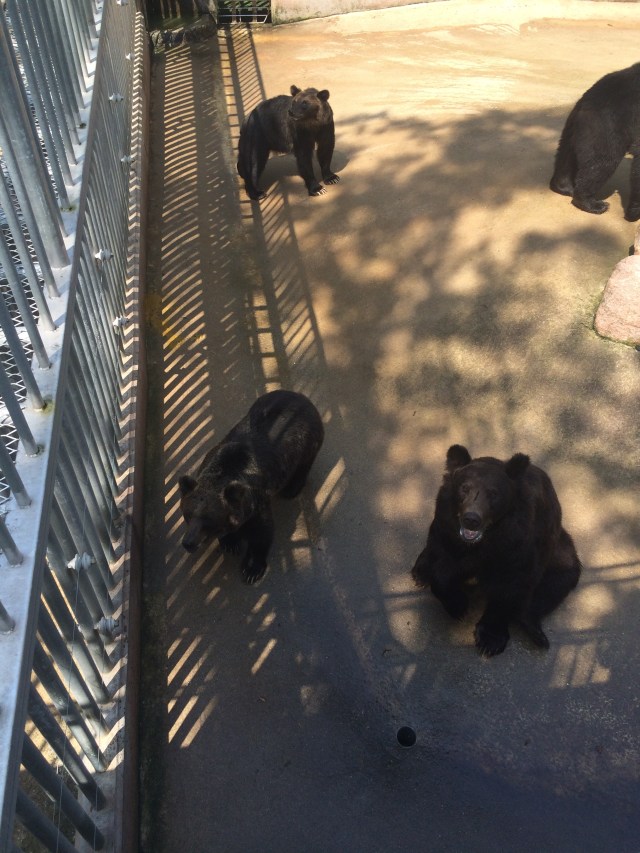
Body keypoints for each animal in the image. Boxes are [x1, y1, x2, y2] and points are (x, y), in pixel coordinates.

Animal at [179, 390, 324, 584]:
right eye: (187, 514)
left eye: (207, 520)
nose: (188, 542)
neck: (224, 473)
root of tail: (301, 396)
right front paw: (231, 543)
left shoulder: (257, 499)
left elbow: (262, 532)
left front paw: (252, 569)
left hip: (307, 440)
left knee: (304, 464)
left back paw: (292, 489)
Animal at [411, 444, 582, 656]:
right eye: (464, 488)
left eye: (493, 493)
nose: (472, 519)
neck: (485, 540)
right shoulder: (447, 528)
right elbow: (442, 565)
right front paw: (458, 605)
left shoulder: (518, 542)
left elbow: (510, 584)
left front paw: (489, 640)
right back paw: (420, 572)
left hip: (558, 549)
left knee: (558, 579)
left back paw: (535, 631)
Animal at [549, 62, 640, 221]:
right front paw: (633, 213)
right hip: (607, 126)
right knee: (602, 161)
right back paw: (592, 203)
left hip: (574, 128)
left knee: (566, 154)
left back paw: (563, 186)